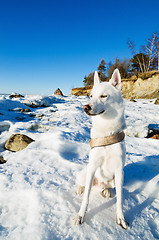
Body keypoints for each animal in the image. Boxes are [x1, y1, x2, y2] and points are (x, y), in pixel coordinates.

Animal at [74, 69, 129, 229]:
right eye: (91, 96)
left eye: (104, 96)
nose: (85, 107)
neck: (107, 132)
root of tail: (99, 184)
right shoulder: (93, 166)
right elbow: (86, 198)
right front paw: (80, 216)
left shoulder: (119, 170)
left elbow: (120, 199)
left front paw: (120, 218)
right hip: (85, 172)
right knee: (83, 184)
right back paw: (80, 188)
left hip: (114, 180)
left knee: (107, 187)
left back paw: (105, 191)